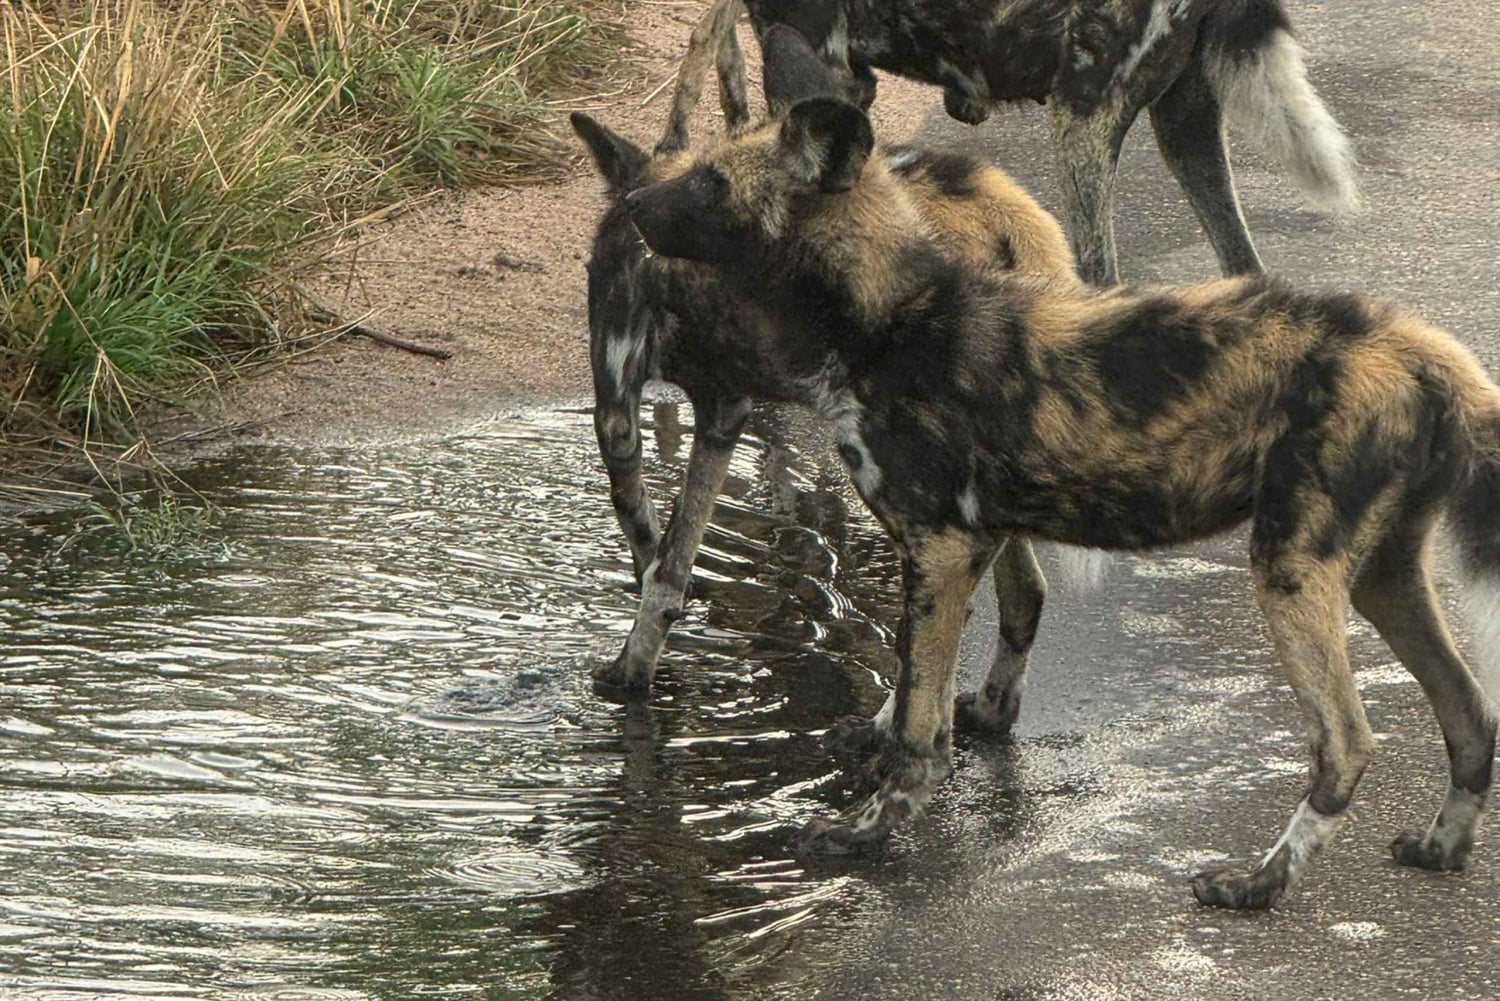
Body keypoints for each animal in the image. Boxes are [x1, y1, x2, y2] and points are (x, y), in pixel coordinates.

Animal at [574, 23, 1076, 719]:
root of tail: (1004, 222)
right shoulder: (642, 407)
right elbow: (654, 542)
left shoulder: (690, 407)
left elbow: (665, 560)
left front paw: (635, 672)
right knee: (1024, 588)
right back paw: (990, 708)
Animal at [620, 94, 1500, 910]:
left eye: (711, 179)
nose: (629, 202)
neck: (889, 318)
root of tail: (1421, 348)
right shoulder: (964, 544)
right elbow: (917, 680)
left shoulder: (941, 547)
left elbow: (920, 730)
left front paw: (869, 830)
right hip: (1382, 576)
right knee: (1471, 713)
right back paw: (1440, 846)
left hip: (1290, 569)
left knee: (1346, 742)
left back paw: (1259, 882)